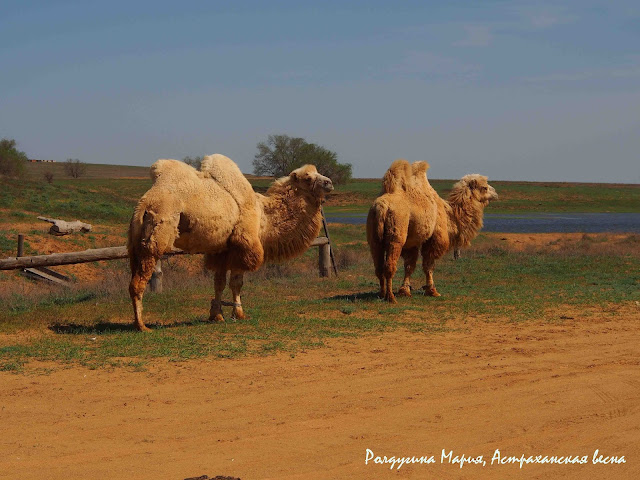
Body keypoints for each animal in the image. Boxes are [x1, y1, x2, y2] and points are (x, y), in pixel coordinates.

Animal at [127, 156, 332, 332]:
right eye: (307, 178)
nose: (329, 182)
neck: (264, 217)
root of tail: (144, 204)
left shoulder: (221, 250)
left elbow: (219, 283)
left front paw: (217, 315)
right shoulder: (243, 246)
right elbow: (236, 283)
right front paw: (239, 313)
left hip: (135, 243)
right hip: (158, 232)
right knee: (138, 281)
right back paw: (141, 326)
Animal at [368, 161, 498, 304]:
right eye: (484, 187)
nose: (495, 193)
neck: (449, 214)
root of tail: (382, 207)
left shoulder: (412, 242)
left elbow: (409, 265)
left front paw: (405, 291)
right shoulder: (434, 238)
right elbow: (429, 265)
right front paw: (432, 291)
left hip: (374, 235)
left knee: (378, 265)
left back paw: (381, 294)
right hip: (397, 230)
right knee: (389, 265)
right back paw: (390, 297)